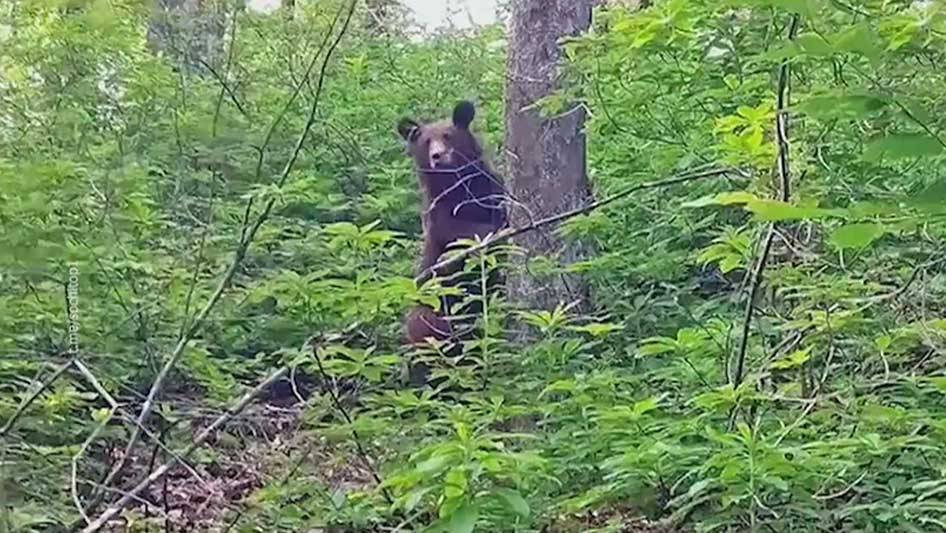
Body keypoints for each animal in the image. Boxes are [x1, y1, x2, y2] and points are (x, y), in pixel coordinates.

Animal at [394, 100, 506, 382]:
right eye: (426, 141)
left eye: (448, 135)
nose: (438, 156)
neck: (457, 188)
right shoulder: (438, 216)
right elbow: (457, 234)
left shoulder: (491, 190)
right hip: (432, 311)